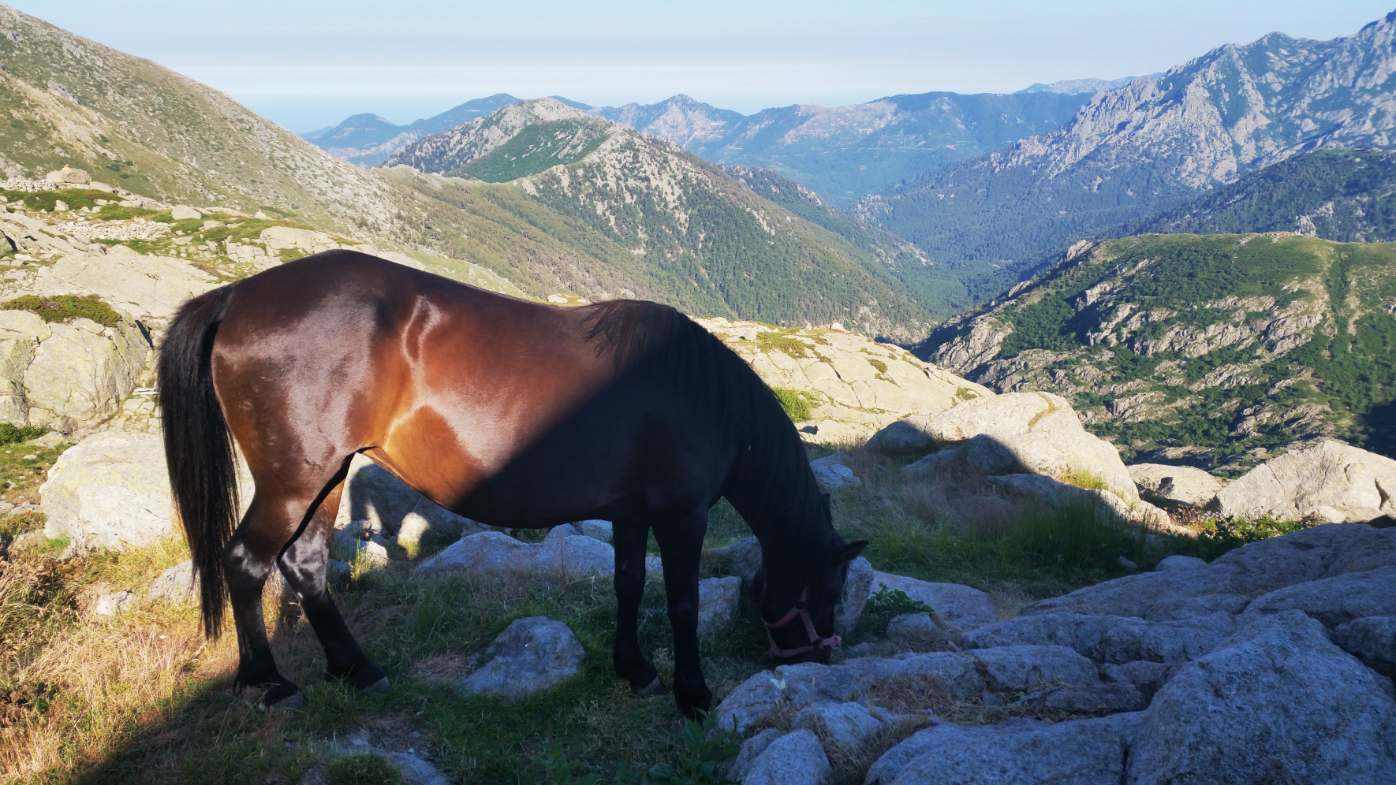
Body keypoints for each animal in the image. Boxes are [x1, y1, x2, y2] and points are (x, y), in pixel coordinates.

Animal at [157, 250, 865, 717]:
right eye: (830, 587)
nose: (819, 657)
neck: (702, 395)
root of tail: (237, 297)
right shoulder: (681, 516)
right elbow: (682, 603)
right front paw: (692, 693)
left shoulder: (632, 513)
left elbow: (629, 585)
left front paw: (633, 668)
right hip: (291, 483)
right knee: (246, 563)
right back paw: (267, 682)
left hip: (326, 477)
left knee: (304, 565)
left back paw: (355, 668)